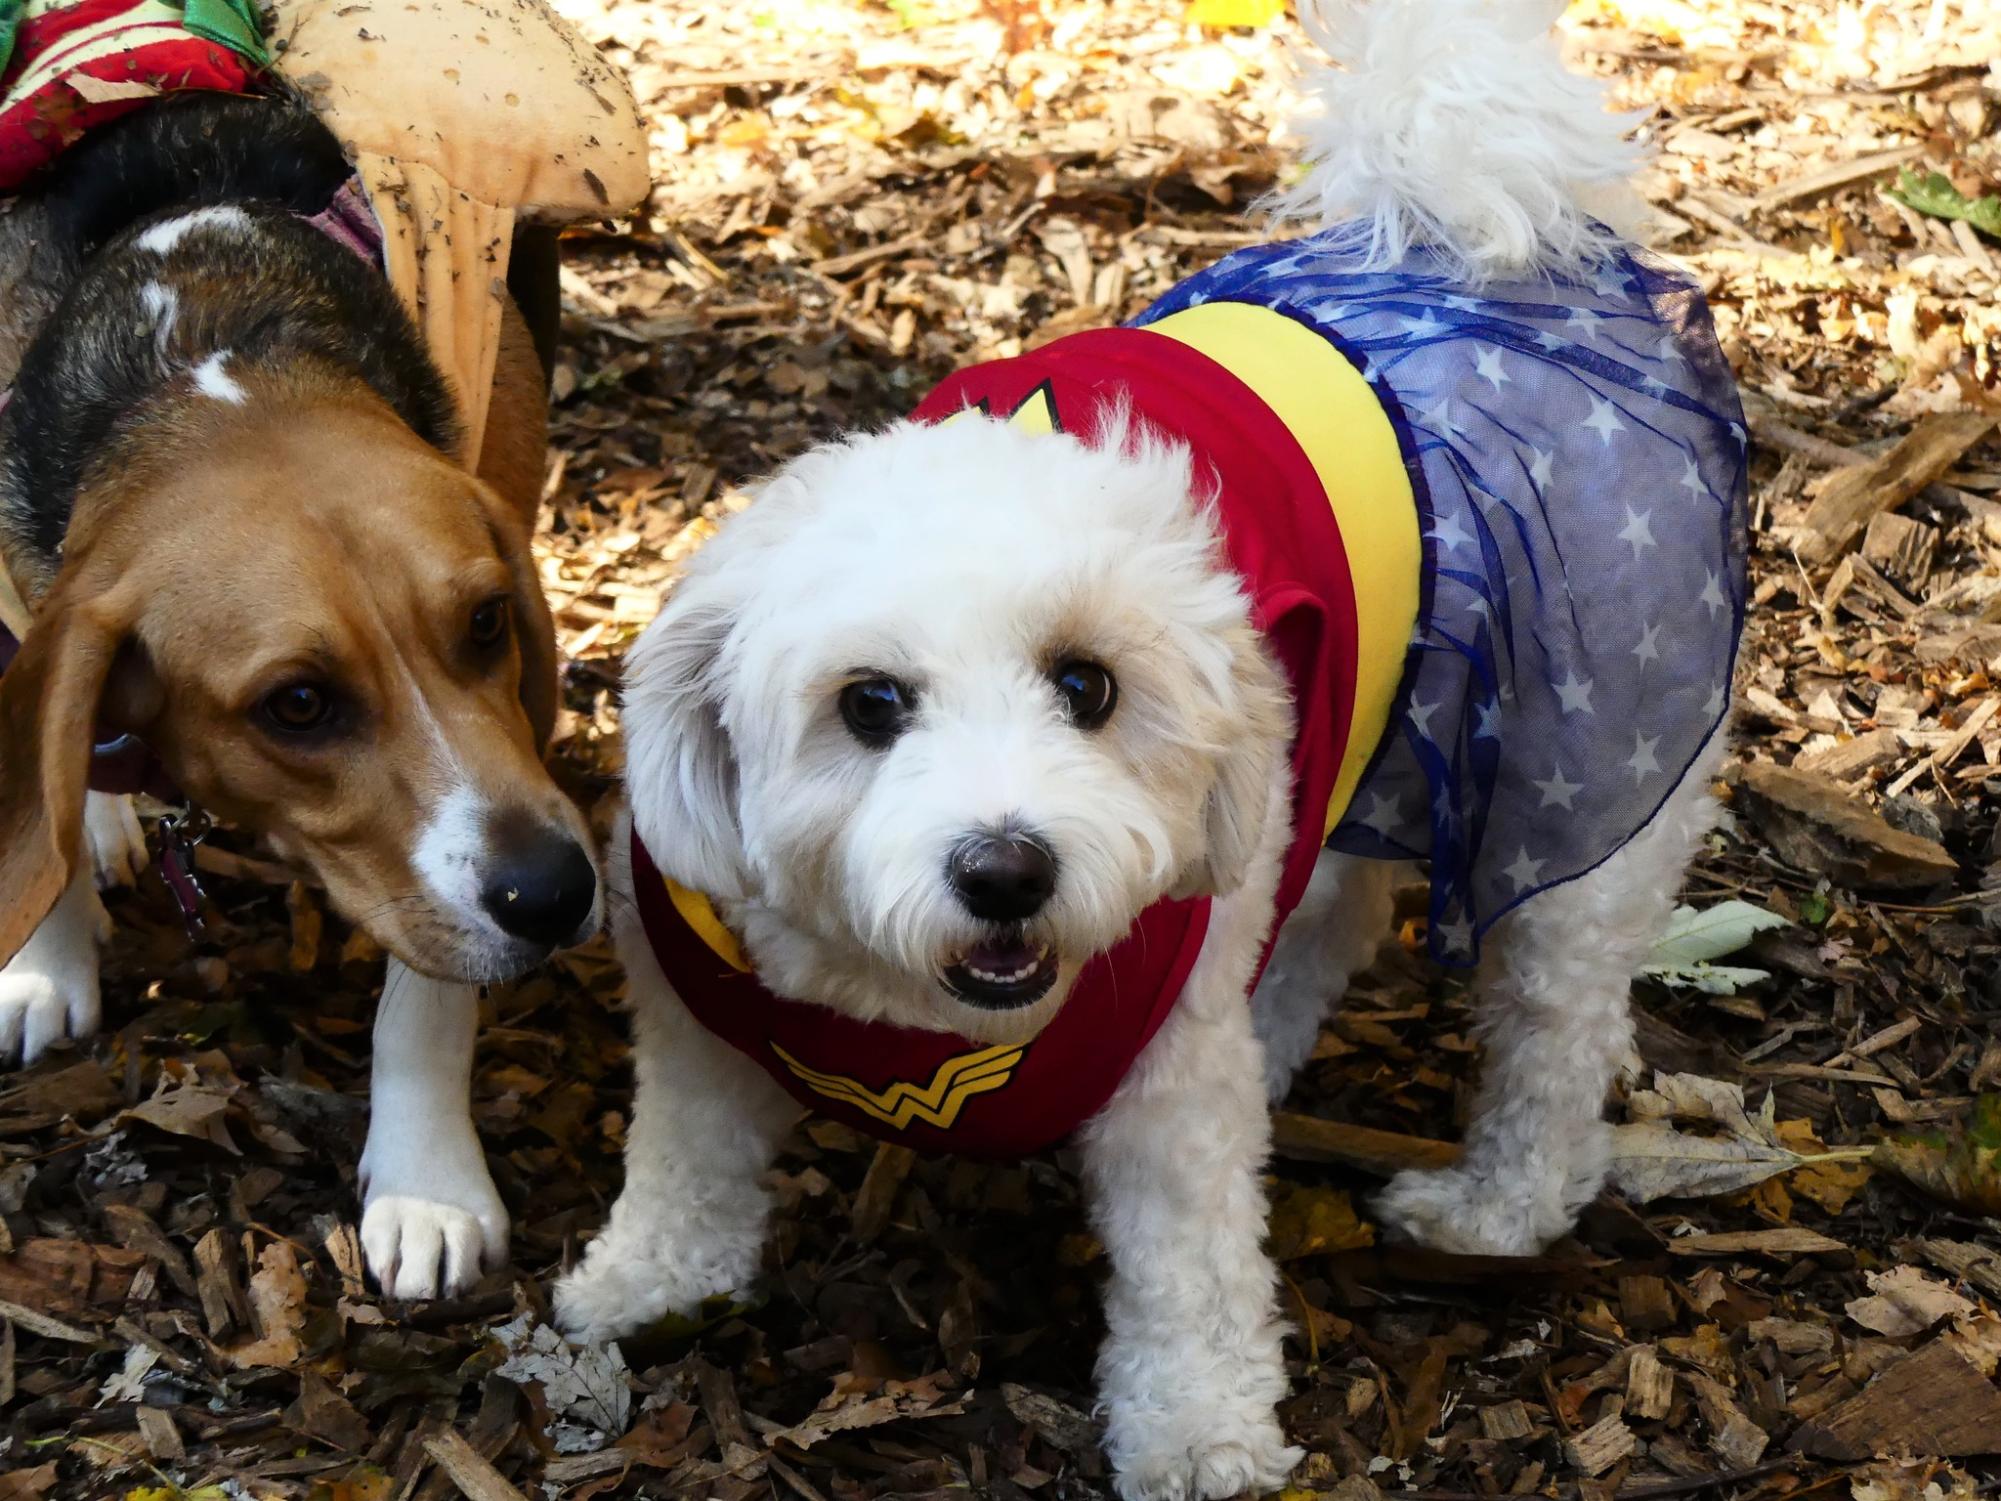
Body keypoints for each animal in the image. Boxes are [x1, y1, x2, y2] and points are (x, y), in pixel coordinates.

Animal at [0, 94, 600, 1296]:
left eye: (487, 621)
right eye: (299, 704)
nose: (557, 893)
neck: (204, 348)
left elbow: (427, 995)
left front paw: (428, 1184)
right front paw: (44, 961)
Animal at [556, 5, 1744, 1496]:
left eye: (1088, 684)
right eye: (868, 704)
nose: (1006, 870)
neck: (923, 1021)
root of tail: (1491, 244)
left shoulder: (1168, 1082)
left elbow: (1191, 1272)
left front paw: (1198, 1429)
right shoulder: (693, 1010)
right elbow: (688, 1156)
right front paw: (645, 1276)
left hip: (1583, 784)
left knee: (1553, 1024)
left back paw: (1494, 1202)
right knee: (1330, 911)